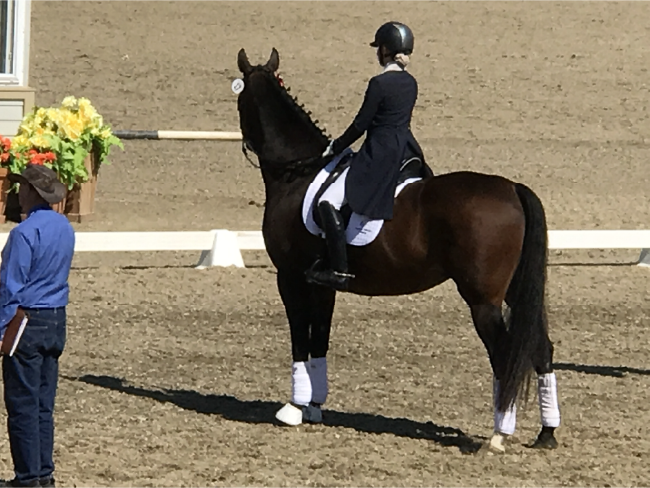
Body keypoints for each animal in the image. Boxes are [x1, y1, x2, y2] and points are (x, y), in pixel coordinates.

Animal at [235, 47, 560, 453]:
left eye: (241, 99)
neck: (297, 173)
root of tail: (512, 188)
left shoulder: (290, 278)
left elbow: (299, 338)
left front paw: (293, 408)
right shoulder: (322, 284)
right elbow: (319, 338)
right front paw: (314, 406)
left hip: (482, 300)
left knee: (504, 356)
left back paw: (499, 434)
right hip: (515, 291)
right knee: (541, 350)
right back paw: (546, 433)